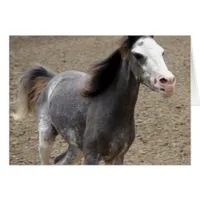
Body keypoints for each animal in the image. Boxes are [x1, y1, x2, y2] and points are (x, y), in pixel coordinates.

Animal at [12, 36, 175, 164]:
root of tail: (52, 79)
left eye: (162, 52)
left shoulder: (116, 157)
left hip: (76, 148)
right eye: (138, 54)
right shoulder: (91, 156)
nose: (168, 82)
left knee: (59, 161)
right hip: (45, 138)